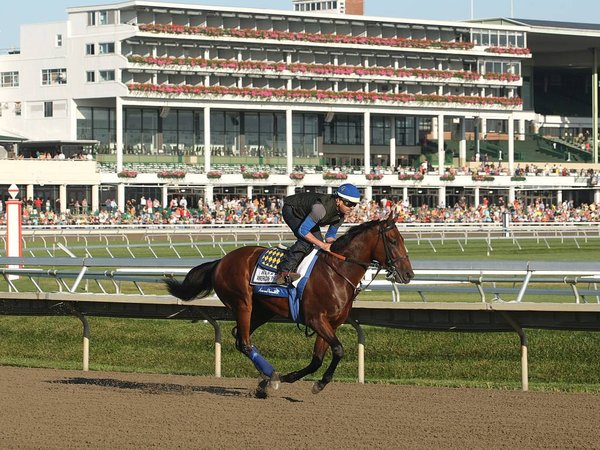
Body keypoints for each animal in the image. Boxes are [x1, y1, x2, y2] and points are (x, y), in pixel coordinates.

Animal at [165, 212, 418, 394]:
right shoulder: (316, 319)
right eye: (393, 240)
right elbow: (338, 349)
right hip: (243, 304)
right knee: (244, 342)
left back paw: (267, 379)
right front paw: (312, 383)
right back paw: (272, 376)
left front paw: (300, 379)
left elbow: (317, 359)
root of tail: (221, 261)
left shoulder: (330, 324)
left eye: (403, 240)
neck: (336, 272)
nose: (408, 274)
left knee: (240, 339)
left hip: (263, 311)